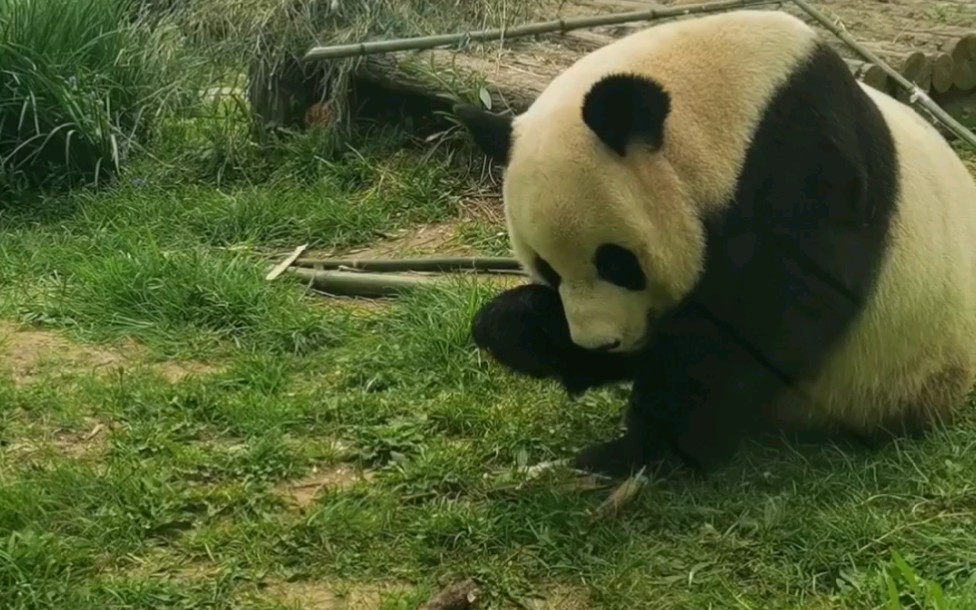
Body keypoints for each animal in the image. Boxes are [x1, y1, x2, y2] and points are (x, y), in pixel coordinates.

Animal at [456, 7, 976, 478]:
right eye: (546, 268)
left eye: (617, 263)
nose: (598, 343)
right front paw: (515, 325)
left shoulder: (805, 163)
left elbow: (763, 318)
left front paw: (646, 448)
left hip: (901, 370)